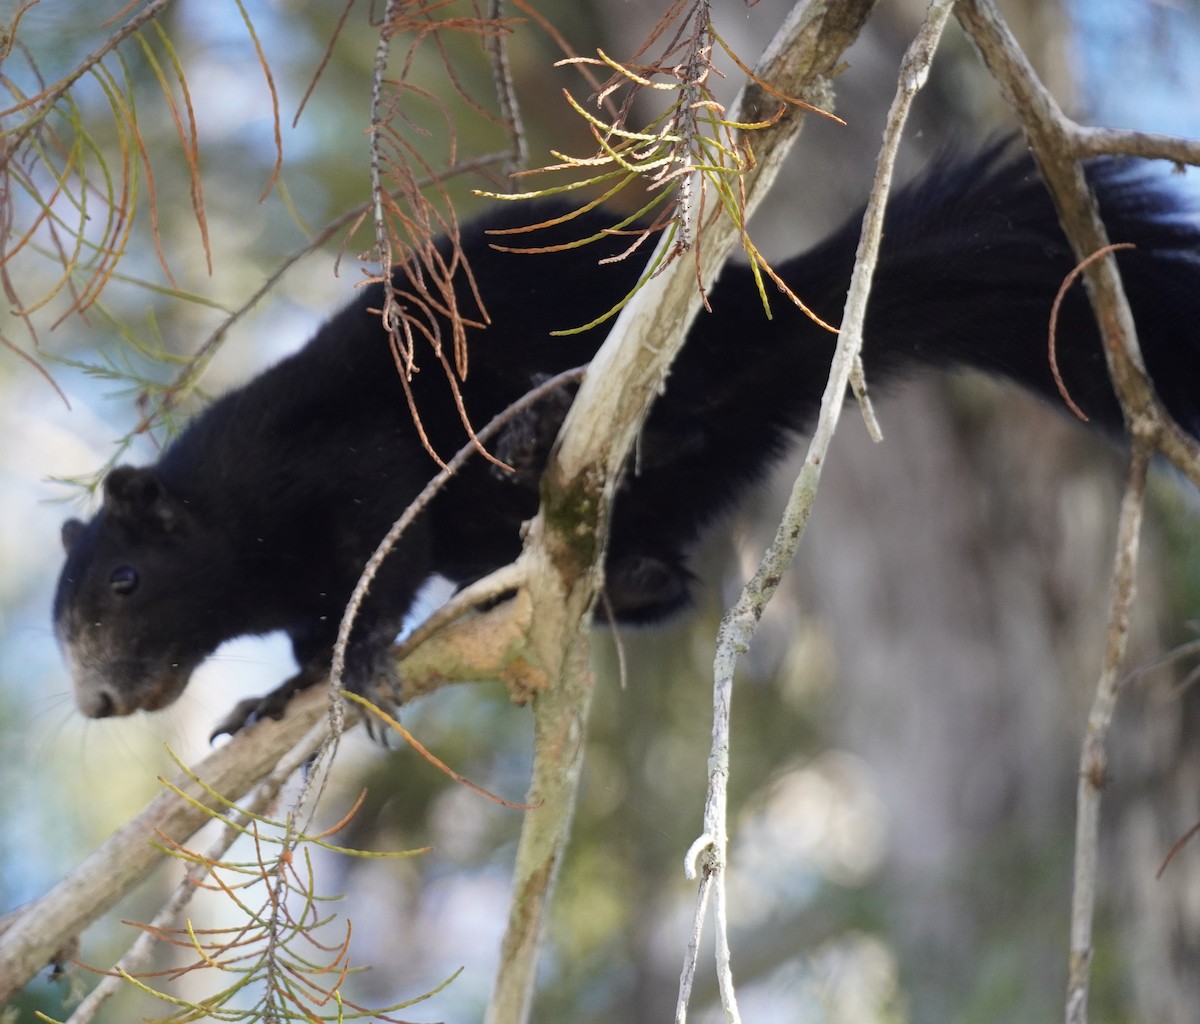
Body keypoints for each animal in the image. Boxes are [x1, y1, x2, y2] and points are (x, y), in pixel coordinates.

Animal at [52, 146, 1200, 734]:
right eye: (63, 623)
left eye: (124, 581)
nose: (99, 701)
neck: (234, 512)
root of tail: (766, 308)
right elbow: (316, 626)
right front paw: (271, 696)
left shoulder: (346, 468)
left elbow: (372, 571)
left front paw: (346, 666)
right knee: (664, 574)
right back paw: (619, 569)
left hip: (605, 340)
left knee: (667, 411)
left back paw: (538, 429)